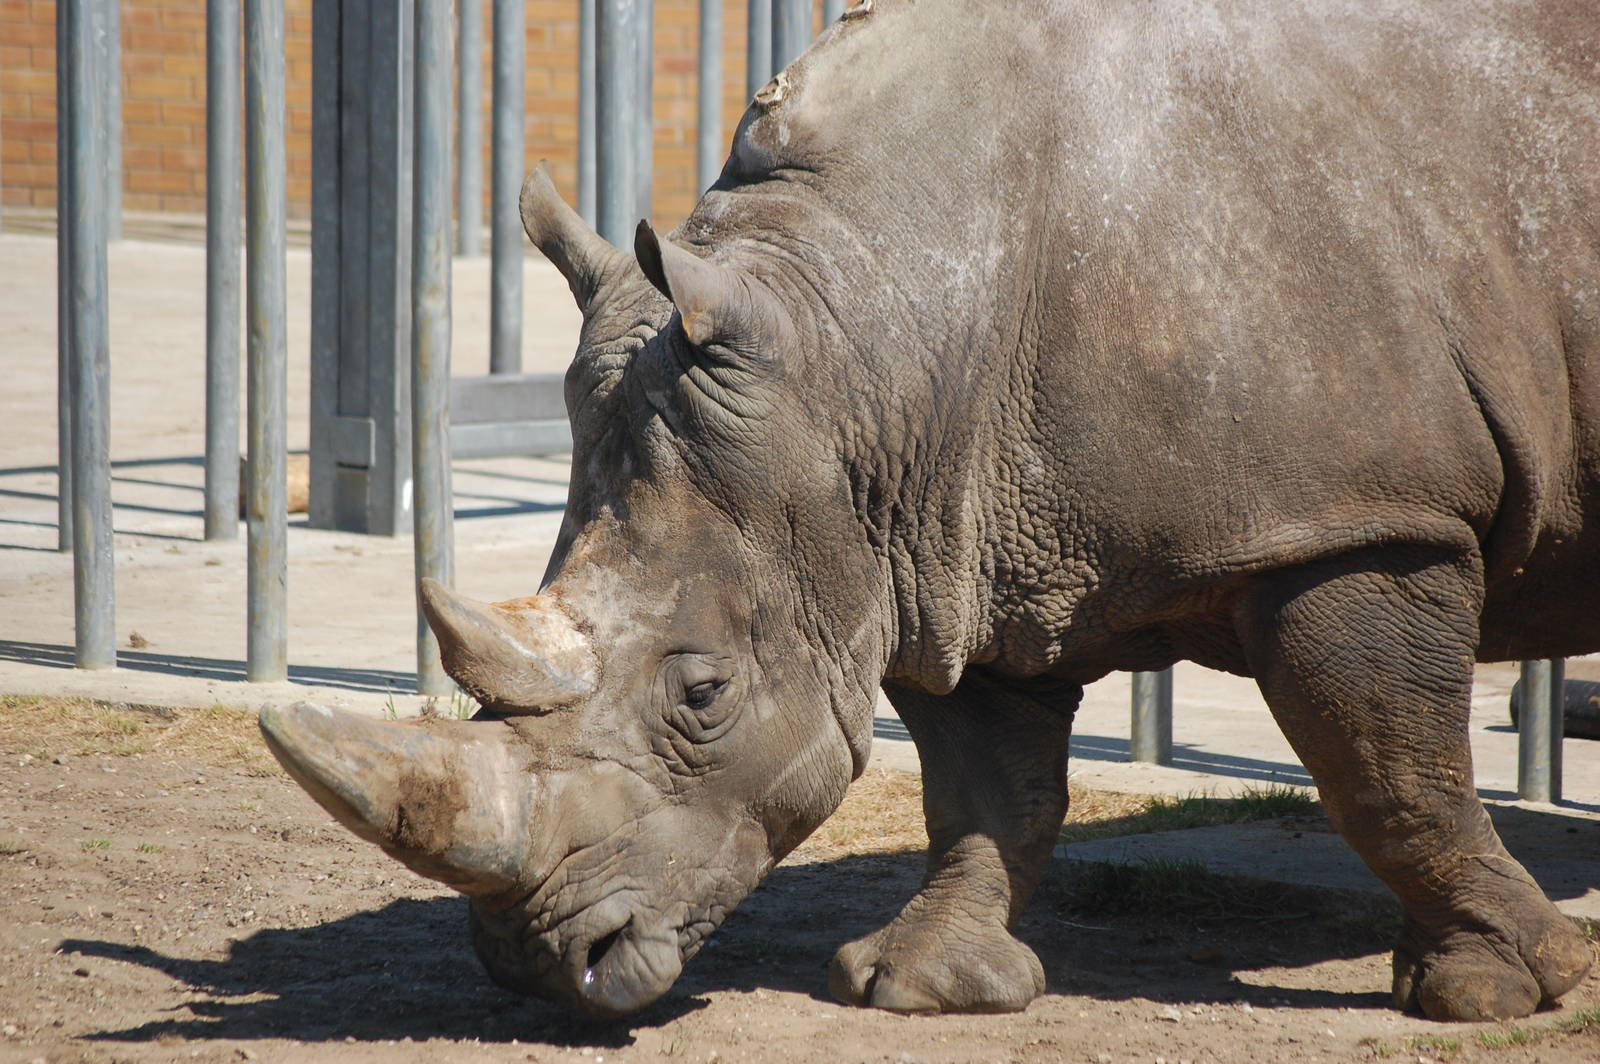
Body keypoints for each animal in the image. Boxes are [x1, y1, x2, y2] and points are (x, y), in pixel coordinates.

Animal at [261, 0, 1600, 1023]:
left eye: (704, 694)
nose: (541, 966)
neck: (869, 332)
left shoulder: (1352, 522)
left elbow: (1391, 770)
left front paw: (1503, 987)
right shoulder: (946, 537)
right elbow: (985, 784)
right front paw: (922, 985)